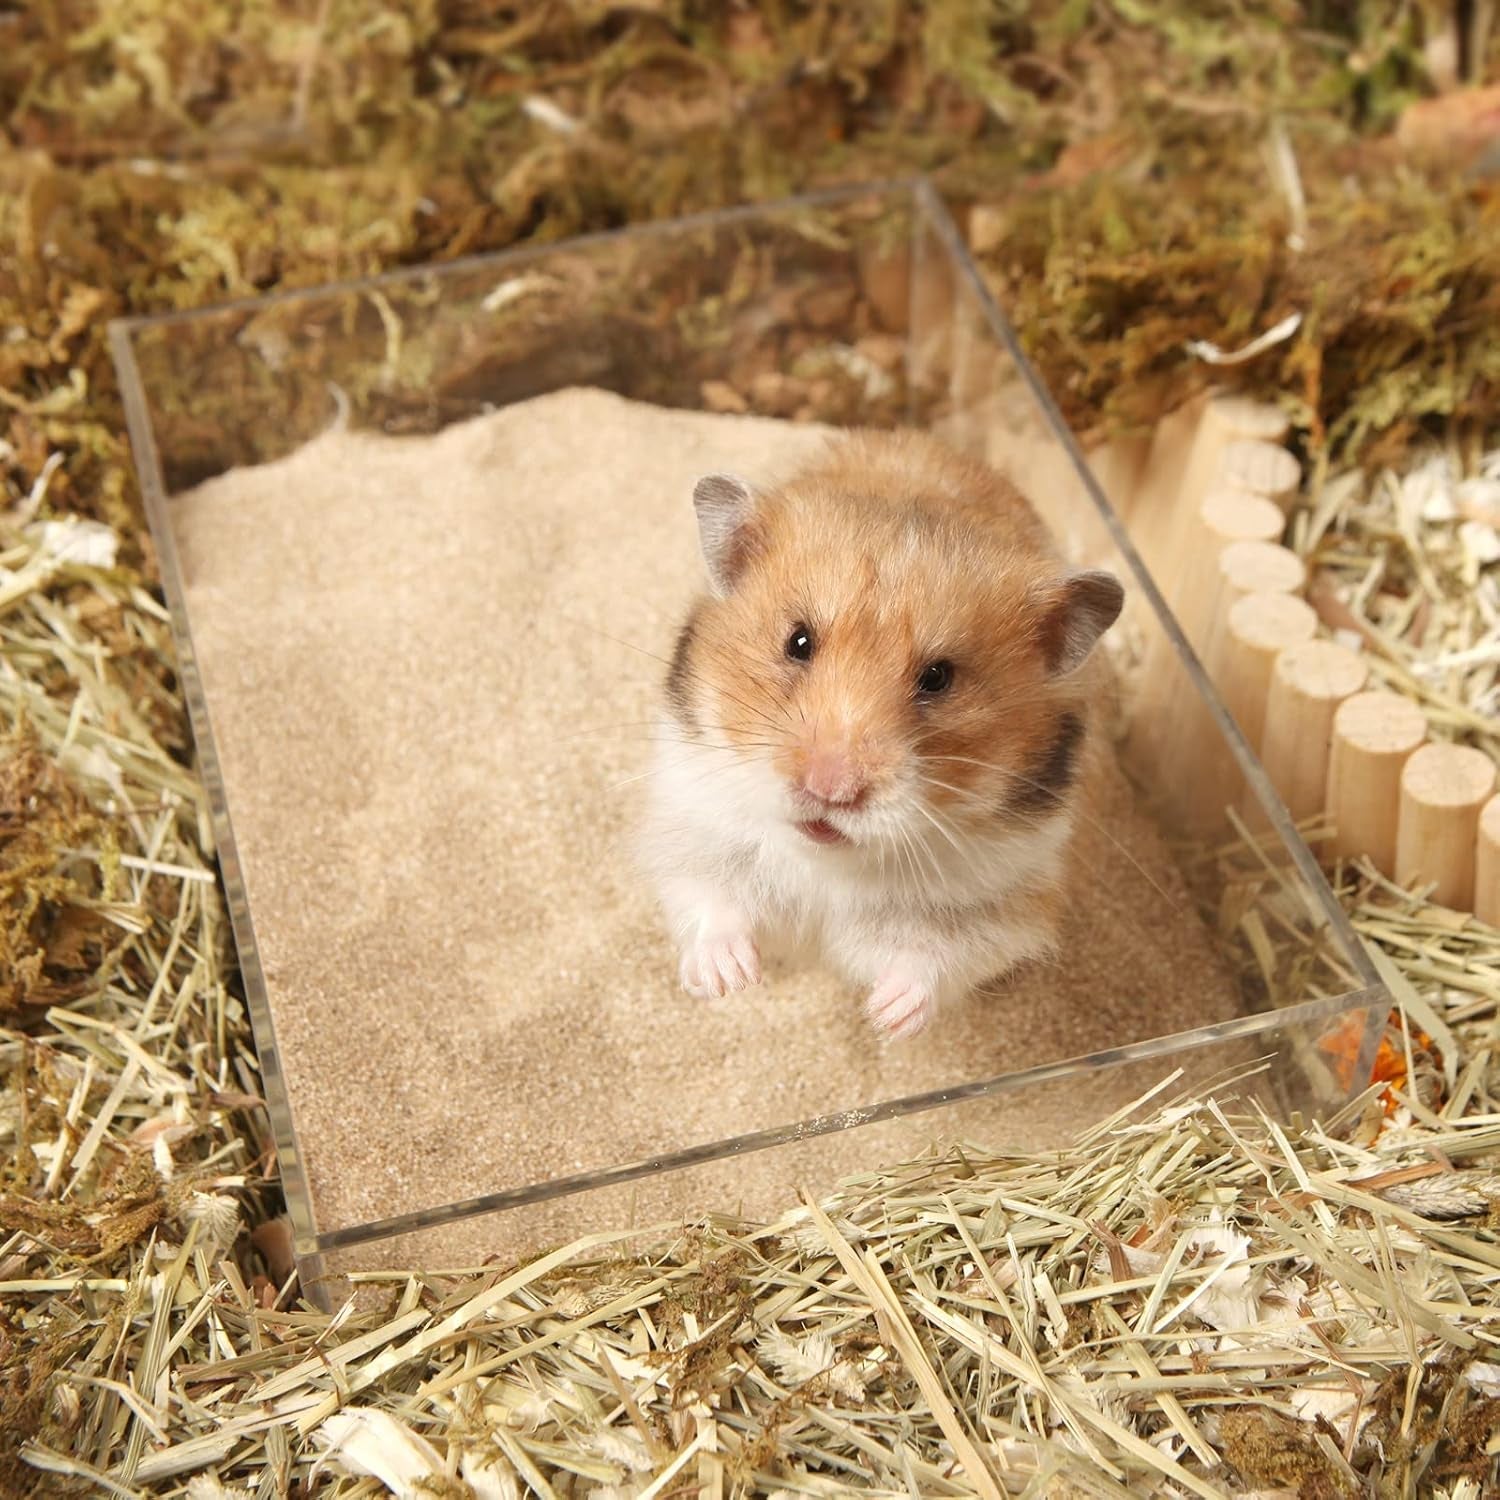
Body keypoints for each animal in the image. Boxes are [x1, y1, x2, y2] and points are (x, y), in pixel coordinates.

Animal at [637, 430, 1124, 1040]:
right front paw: (731, 980)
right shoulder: (694, 825)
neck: (824, 857)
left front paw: (885, 1017)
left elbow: (937, 960)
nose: (830, 790)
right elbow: (710, 902)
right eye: (798, 642)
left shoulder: (1000, 900)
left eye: (938, 678)